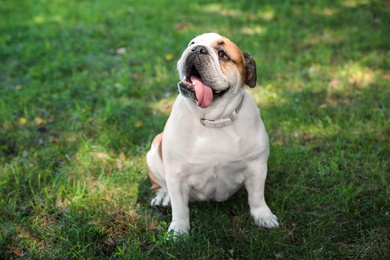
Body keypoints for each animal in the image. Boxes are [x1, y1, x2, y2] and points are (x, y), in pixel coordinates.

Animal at [145, 32, 278, 236]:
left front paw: (263, 216)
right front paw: (179, 231)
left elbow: (257, 197)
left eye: (222, 54)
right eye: (192, 43)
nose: (197, 49)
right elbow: (180, 207)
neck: (213, 120)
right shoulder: (176, 175)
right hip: (153, 152)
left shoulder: (257, 167)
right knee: (159, 184)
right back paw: (162, 196)